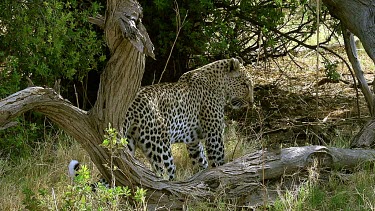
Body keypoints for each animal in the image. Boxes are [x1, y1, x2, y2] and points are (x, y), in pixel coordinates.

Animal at [125, 57, 254, 180]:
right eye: (245, 84)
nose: (251, 102)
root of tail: (130, 105)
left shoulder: (194, 142)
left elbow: (201, 162)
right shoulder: (214, 137)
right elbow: (218, 163)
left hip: (129, 142)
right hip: (160, 147)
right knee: (164, 174)